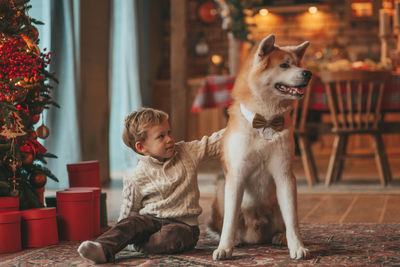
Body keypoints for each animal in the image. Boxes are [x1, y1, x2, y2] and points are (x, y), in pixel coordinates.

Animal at [209, 34, 312, 262]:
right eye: (284, 65)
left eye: (299, 64)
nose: (308, 73)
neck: (266, 121)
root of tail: (255, 236)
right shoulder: (237, 175)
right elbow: (229, 222)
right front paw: (224, 247)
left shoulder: (284, 175)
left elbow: (292, 220)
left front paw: (297, 246)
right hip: (221, 188)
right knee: (225, 223)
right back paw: (237, 239)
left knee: (283, 222)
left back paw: (279, 236)